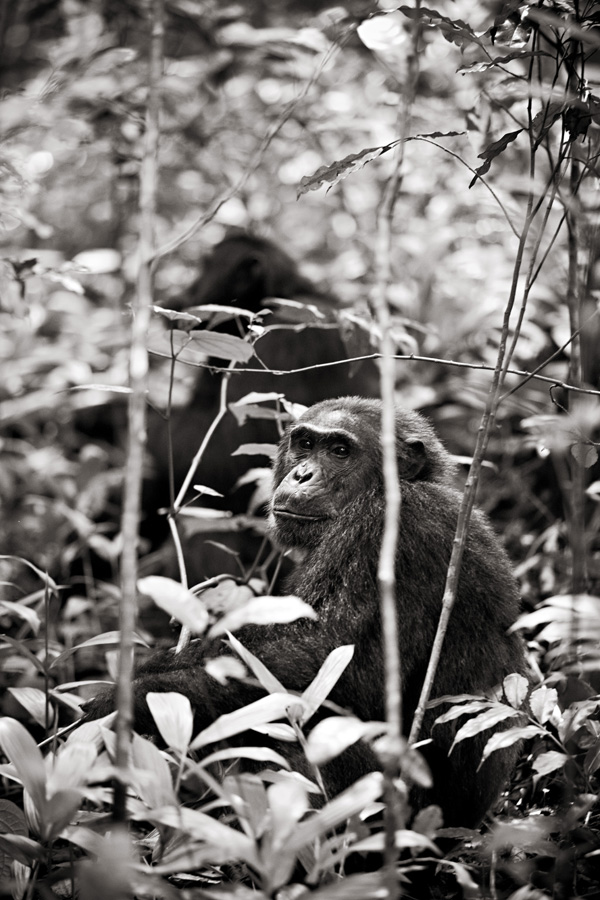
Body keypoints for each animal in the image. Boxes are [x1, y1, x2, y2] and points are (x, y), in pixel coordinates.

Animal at [86, 396, 525, 827]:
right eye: (306, 444)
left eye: (341, 451)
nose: (302, 474)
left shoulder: (393, 533)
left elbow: (322, 661)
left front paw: (126, 701)